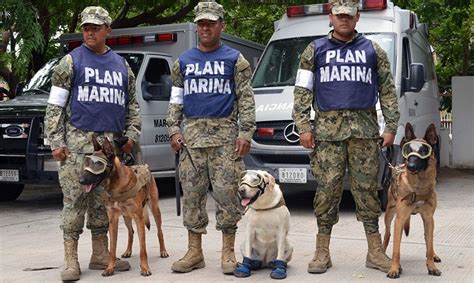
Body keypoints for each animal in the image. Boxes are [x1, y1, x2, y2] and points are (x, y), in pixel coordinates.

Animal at [80, 138, 169, 278]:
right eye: (88, 162)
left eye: (98, 164)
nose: (81, 180)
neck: (116, 185)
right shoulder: (113, 221)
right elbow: (112, 248)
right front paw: (110, 268)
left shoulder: (139, 219)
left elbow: (143, 248)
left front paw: (145, 268)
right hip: (127, 217)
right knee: (130, 232)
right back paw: (128, 251)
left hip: (155, 209)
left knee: (159, 231)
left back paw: (163, 251)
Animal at [384, 123, 442, 280]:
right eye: (408, 150)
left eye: (423, 151)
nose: (411, 166)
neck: (418, 188)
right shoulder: (399, 220)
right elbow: (396, 250)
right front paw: (394, 269)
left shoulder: (429, 219)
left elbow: (429, 246)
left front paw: (432, 267)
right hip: (389, 215)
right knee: (387, 235)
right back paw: (383, 253)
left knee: (428, 240)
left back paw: (434, 255)